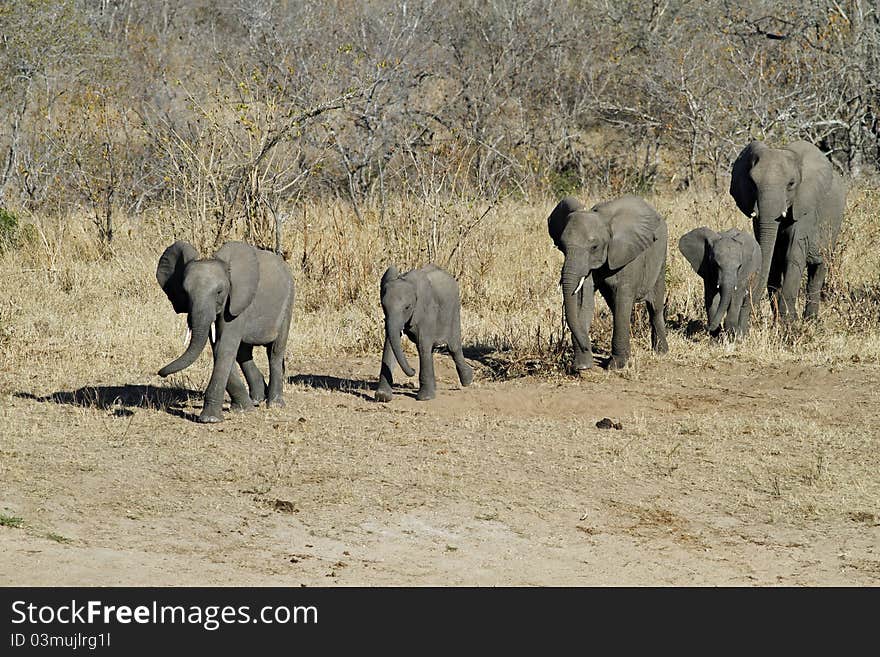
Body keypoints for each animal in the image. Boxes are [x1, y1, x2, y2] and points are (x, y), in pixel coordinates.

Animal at [156, 240, 296, 420]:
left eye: (219, 292)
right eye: (185, 292)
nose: (161, 373)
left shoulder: (237, 300)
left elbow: (225, 346)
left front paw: (210, 419)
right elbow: (218, 347)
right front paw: (243, 409)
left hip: (288, 300)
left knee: (275, 351)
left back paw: (274, 404)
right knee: (244, 353)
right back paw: (257, 399)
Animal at [378, 262, 474, 400]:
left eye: (407, 307)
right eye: (384, 306)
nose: (413, 370)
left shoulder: (427, 310)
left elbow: (423, 345)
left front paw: (425, 398)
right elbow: (390, 342)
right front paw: (382, 396)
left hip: (454, 309)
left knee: (453, 348)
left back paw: (468, 380)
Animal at [548, 193, 672, 368]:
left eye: (594, 247)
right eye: (562, 247)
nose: (587, 347)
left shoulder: (627, 252)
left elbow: (622, 296)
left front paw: (616, 365)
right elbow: (582, 300)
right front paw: (582, 366)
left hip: (661, 253)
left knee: (655, 306)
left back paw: (661, 352)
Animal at [728, 140, 844, 322]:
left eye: (791, 184)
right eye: (752, 183)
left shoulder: (805, 207)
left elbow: (793, 254)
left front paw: (790, 322)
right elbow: (772, 258)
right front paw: (782, 321)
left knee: (819, 268)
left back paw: (810, 321)